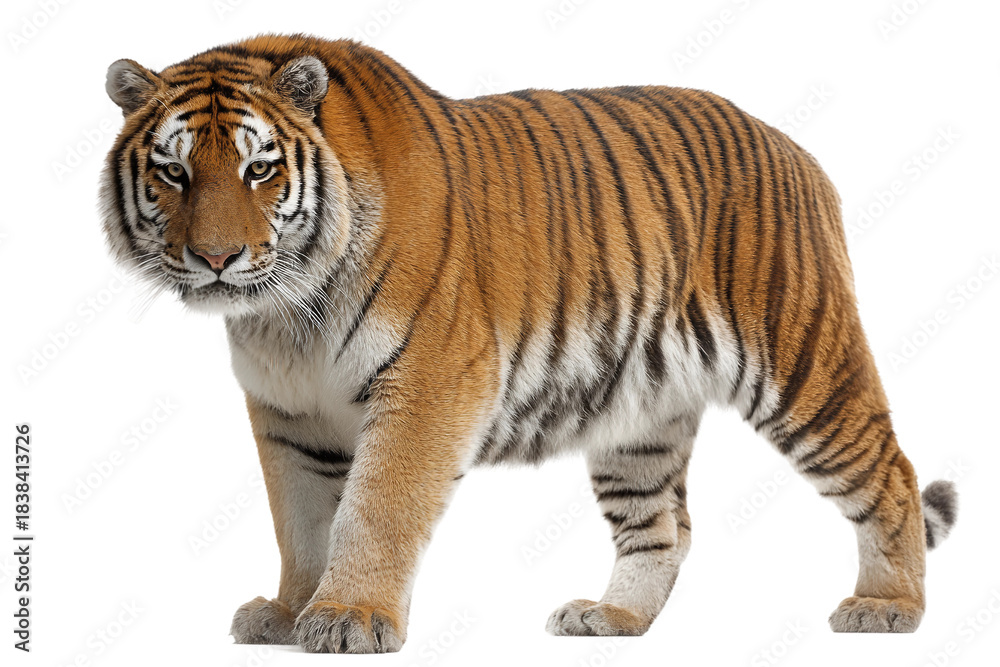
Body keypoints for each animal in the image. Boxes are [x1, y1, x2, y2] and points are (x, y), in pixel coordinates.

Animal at [100, 33, 958, 653]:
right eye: (173, 172)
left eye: (260, 170)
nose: (217, 258)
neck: (284, 313)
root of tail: (792, 147)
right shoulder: (287, 414)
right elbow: (301, 520)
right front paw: (289, 610)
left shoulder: (431, 381)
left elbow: (374, 507)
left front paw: (348, 616)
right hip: (639, 421)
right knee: (664, 527)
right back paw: (613, 619)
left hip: (804, 367)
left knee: (890, 472)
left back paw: (888, 607)